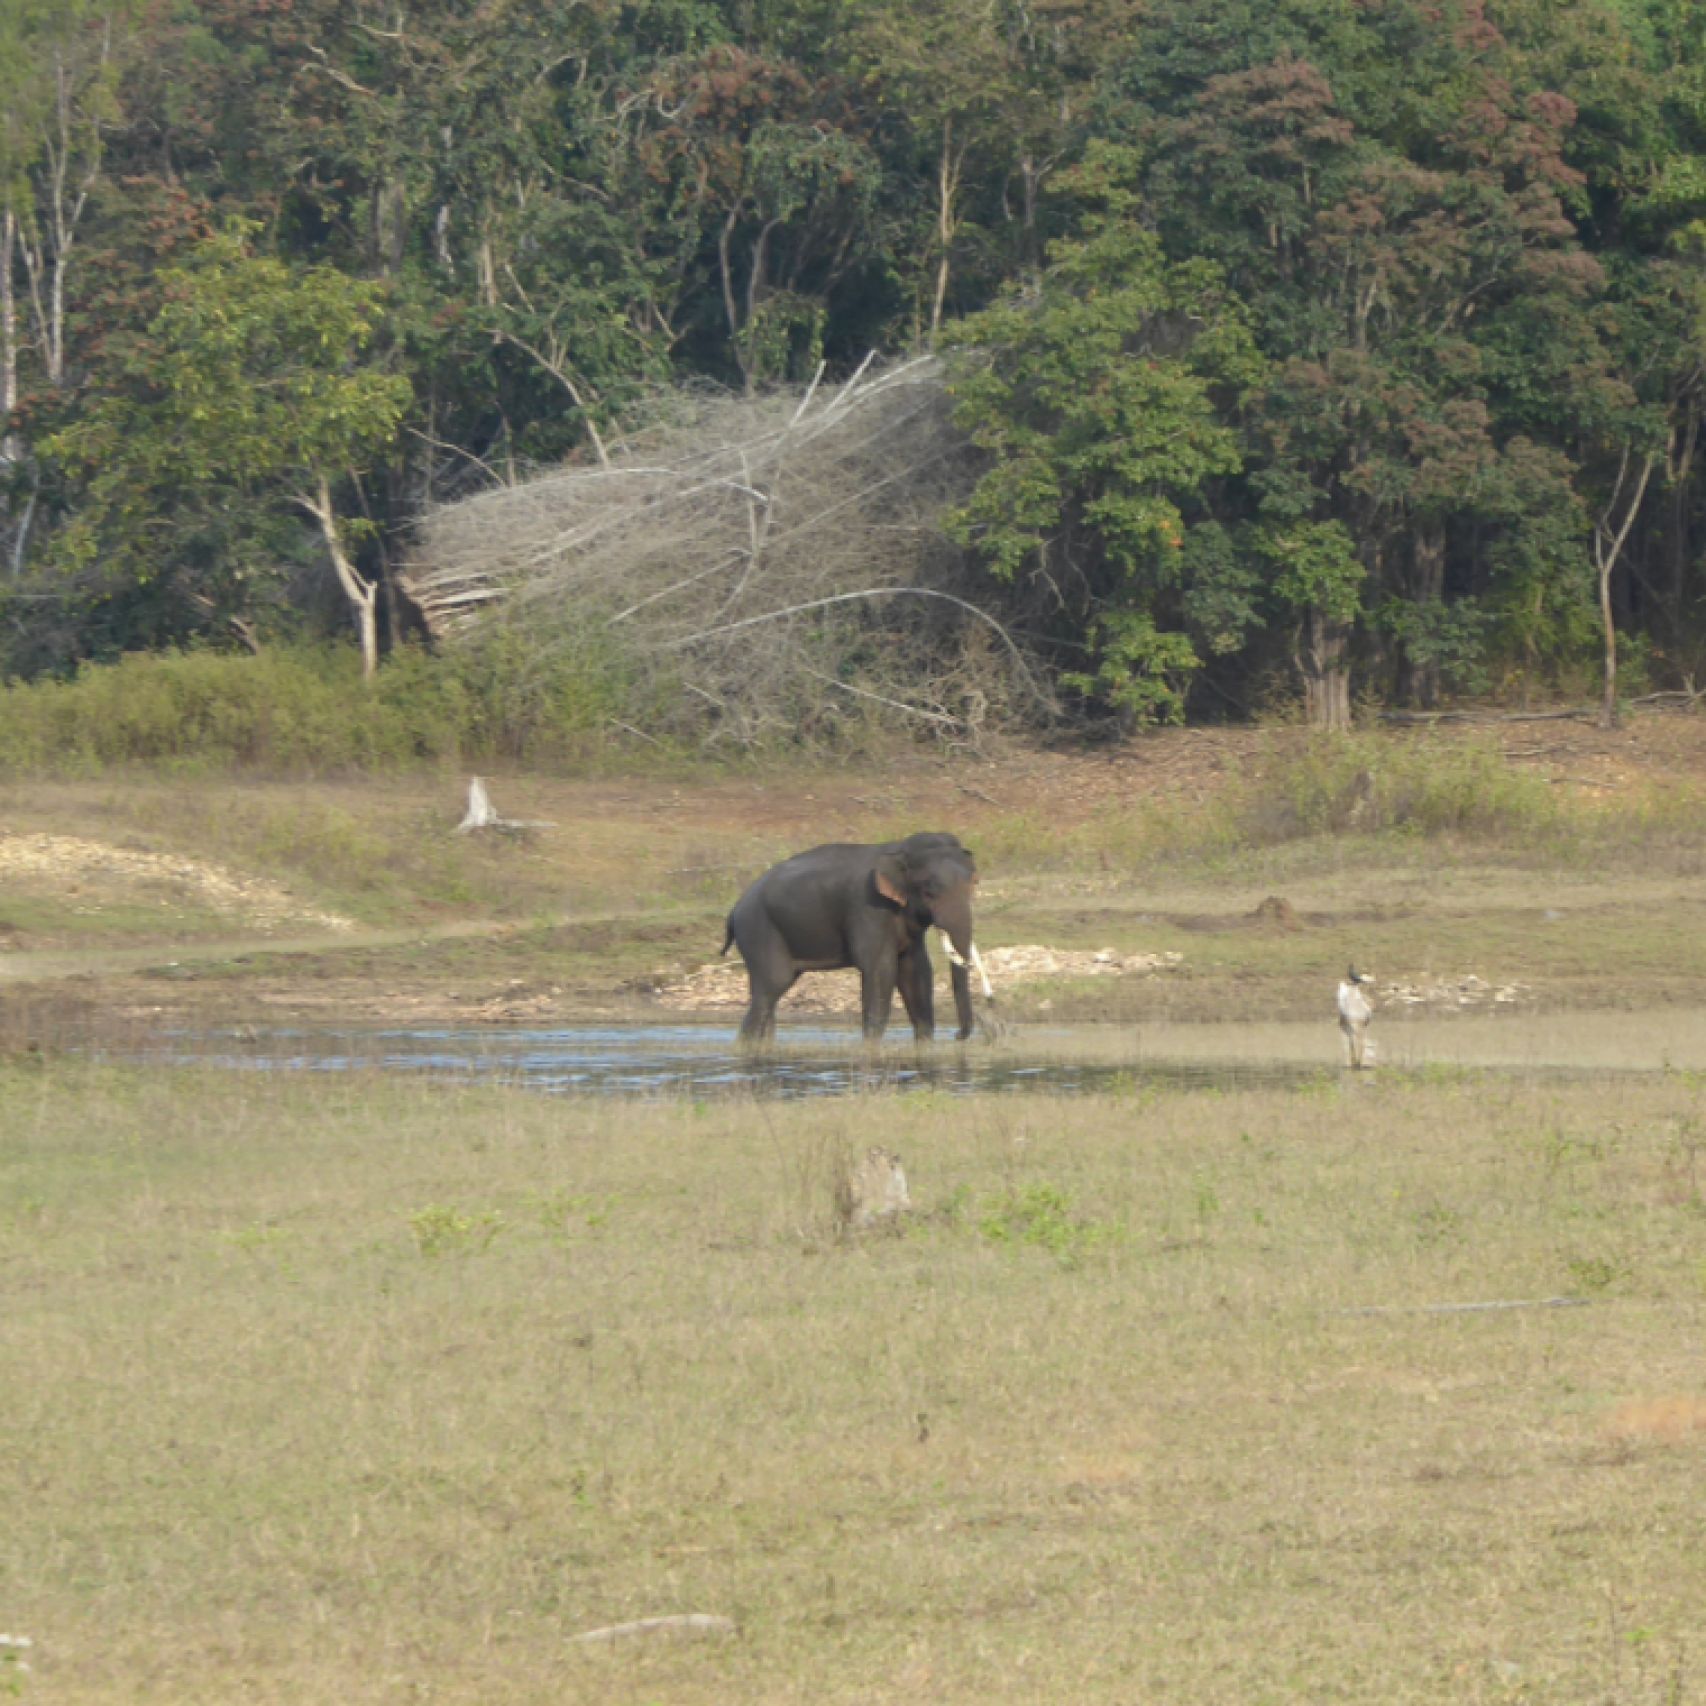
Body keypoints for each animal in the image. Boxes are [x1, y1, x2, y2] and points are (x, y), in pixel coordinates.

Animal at [723, 832, 989, 1044]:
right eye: (928, 892)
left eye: (973, 884)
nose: (957, 1035)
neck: (899, 848)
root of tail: (735, 909)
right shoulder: (868, 908)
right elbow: (881, 970)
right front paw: (871, 1048)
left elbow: (916, 969)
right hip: (758, 930)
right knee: (771, 988)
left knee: (767, 997)